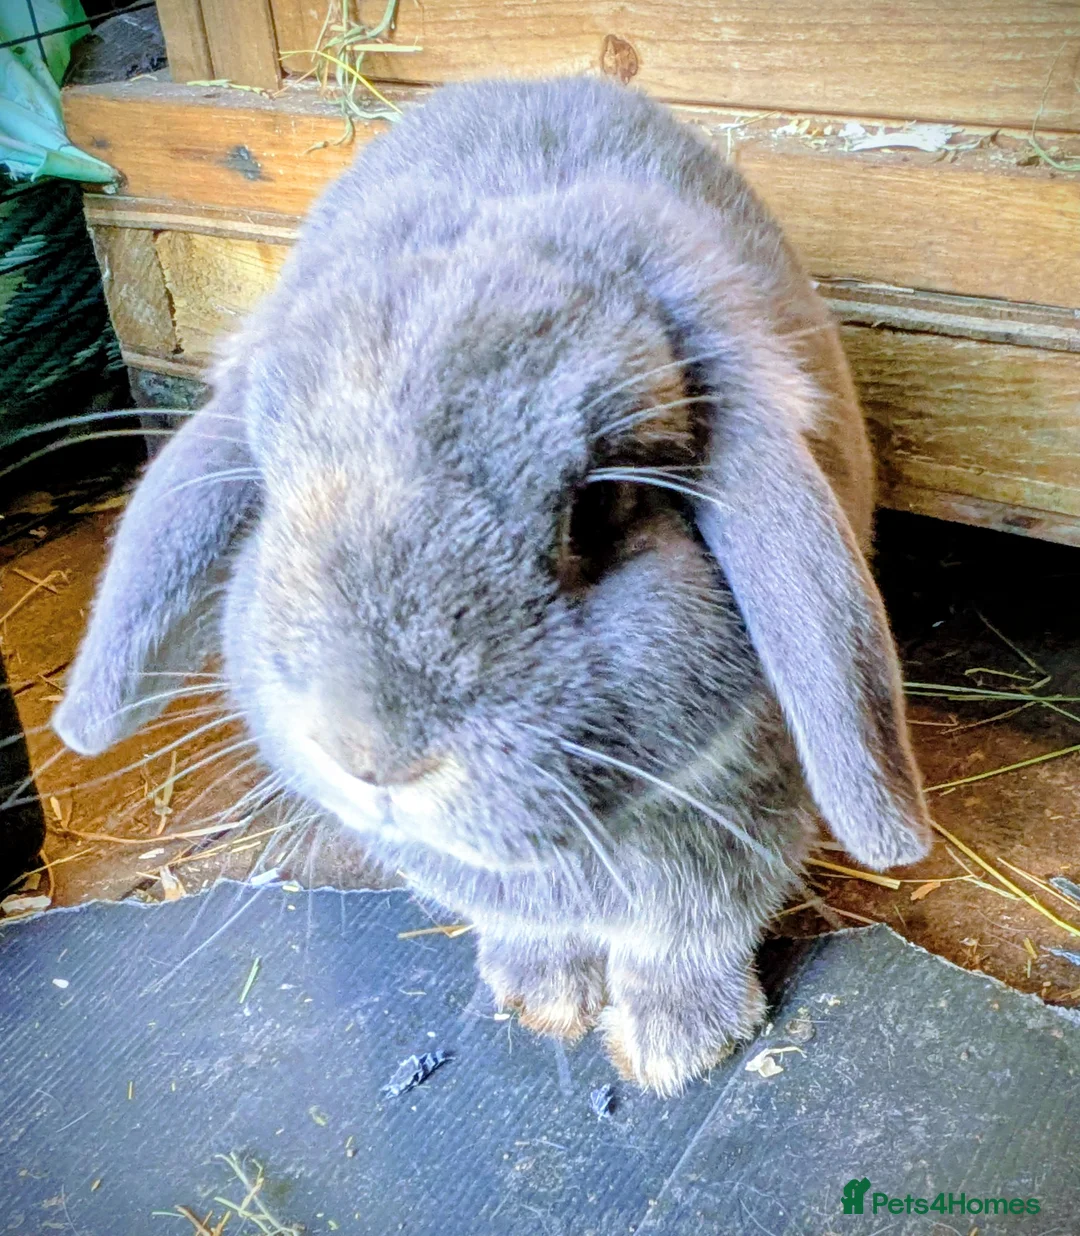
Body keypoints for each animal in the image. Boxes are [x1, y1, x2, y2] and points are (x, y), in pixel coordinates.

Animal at [53, 76, 932, 1095]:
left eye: (598, 507)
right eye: (273, 492)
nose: (369, 755)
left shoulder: (739, 831)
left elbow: (684, 937)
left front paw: (676, 1049)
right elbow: (529, 926)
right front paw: (543, 1003)